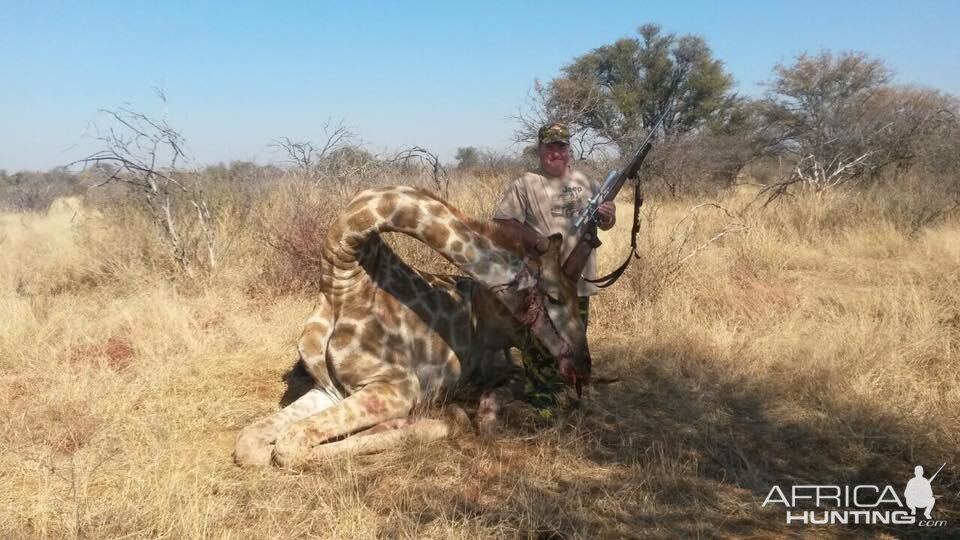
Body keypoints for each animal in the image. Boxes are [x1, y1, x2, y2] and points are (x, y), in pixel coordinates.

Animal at [235, 185, 588, 468]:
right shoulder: (329, 389)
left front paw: (428, 424)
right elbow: (252, 442)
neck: (341, 279)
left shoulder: (395, 388)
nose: (583, 365)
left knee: (514, 380)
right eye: (555, 297)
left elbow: (290, 444)